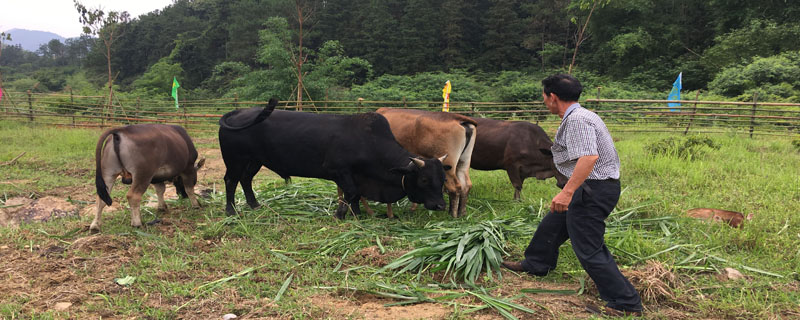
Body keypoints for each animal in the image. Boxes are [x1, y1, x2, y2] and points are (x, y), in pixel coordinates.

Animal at [220, 99, 450, 219]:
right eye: (424, 179)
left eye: (443, 179)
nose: (440, 205)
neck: (368, 141)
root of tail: (238, 111)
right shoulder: (339, 171)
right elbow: (351, 193)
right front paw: (340, 214)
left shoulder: (355, 176)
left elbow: (355, 195)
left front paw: (356, 214)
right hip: (235, 161)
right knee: (231, 181)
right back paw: (231, 210)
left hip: (253, 161)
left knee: (246, 180)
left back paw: (254, 204)